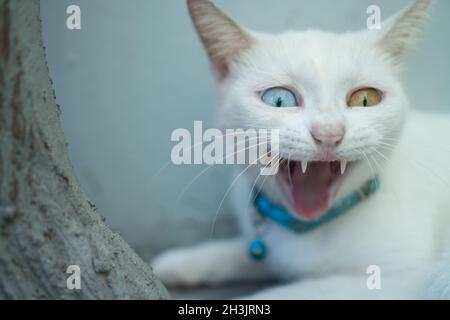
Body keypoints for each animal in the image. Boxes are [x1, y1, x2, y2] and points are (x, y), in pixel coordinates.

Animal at [152, 0, 450, 300]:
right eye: (279, 99)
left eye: (365, 99)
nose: (329, 133)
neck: (306, 230)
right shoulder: (270, 247)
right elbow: (248, 251)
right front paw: (181, 262)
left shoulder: (404, 278)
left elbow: (289, 293)